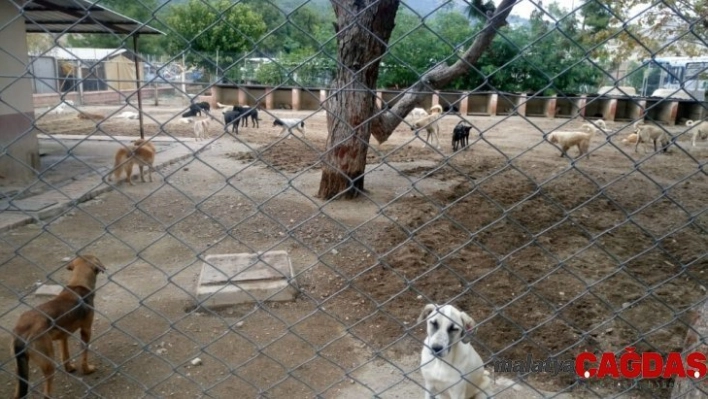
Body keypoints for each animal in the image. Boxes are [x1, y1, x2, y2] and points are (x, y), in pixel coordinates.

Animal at [11, 256, 106, 399]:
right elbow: (84, 354)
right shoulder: (86, 330)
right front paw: (87, 369)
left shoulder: (63, 336)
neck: (79, 283)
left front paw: (69, 368)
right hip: (49, 363)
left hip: (20, 369)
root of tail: (23, 331)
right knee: (46, 393)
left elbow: (65, 354)